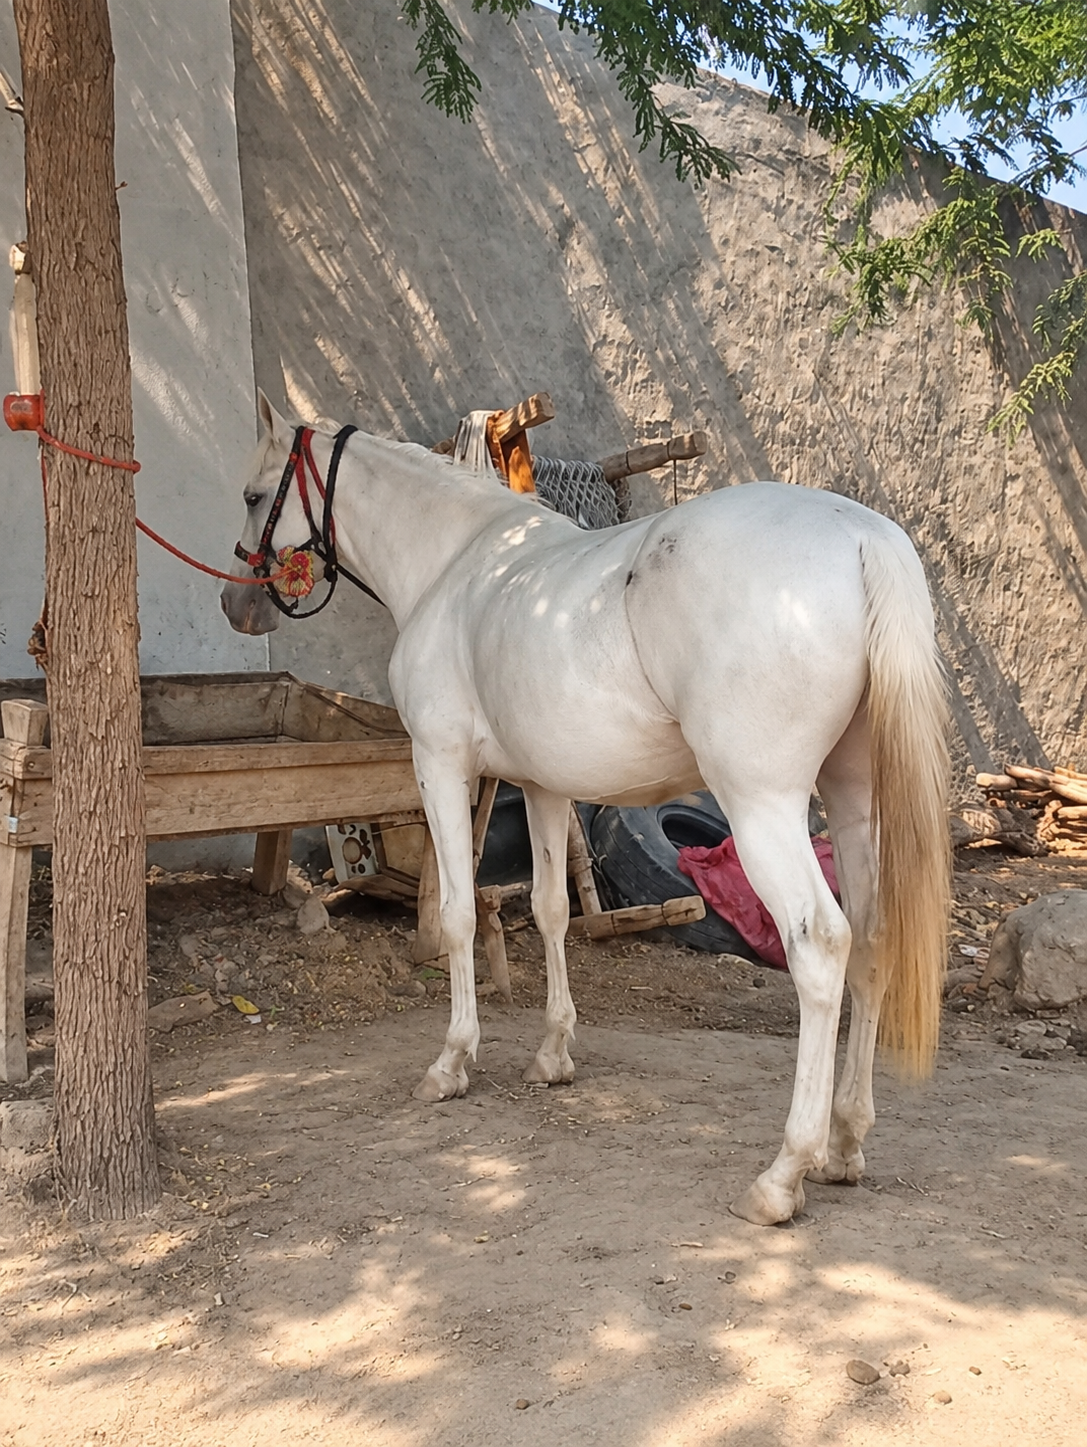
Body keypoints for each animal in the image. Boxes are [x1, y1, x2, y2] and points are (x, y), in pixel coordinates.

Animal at [221, 392, 950, 1226]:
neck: (453, 561)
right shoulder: (542, 785)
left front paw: (452, 1061)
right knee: (871, 939)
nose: (236, 605)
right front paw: (552, 1053)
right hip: (854, 799)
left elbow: (459, 915)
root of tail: (859, 537)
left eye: (254, 495)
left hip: (763, 805)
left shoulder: (440, 765)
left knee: (822, 946)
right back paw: (844, 1145)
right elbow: (547, 910)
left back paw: (783, 1172)